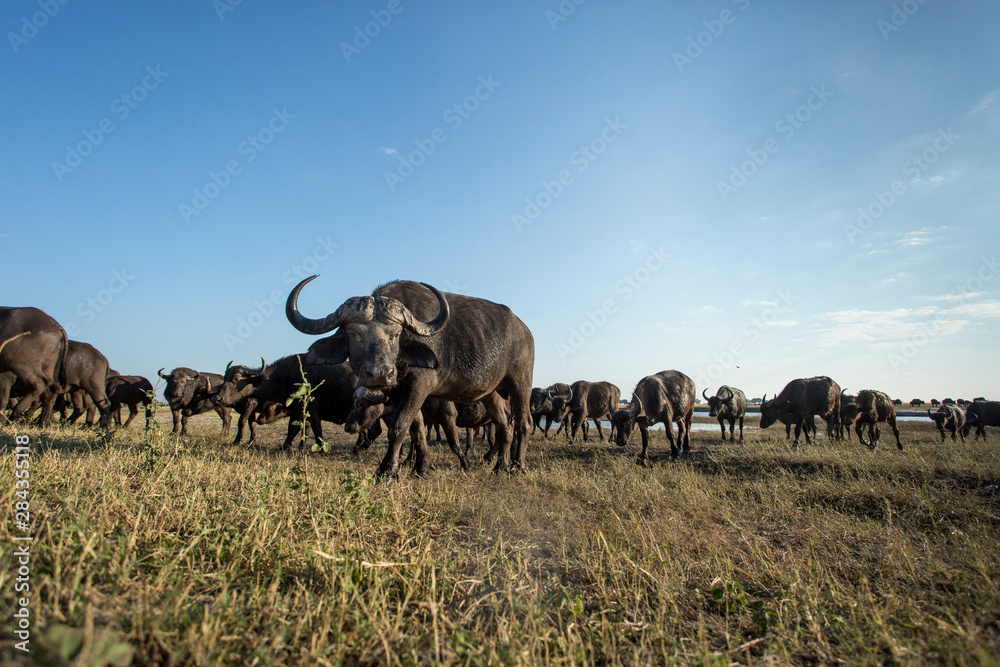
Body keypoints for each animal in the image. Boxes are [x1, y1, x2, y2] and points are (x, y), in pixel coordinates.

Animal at [286, 277, 534, 480]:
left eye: (396, 334)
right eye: (353, 333)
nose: (380, 373)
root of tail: (524, 330)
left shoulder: (419, 386)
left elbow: (399, 426)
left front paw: (387, 471)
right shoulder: (402, 394)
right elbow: (417, 431)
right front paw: (420, 469)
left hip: (521, 382)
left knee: (523, 424)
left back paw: (518, 466)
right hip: (491, 393)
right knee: (504, 426)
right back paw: (500, 467)